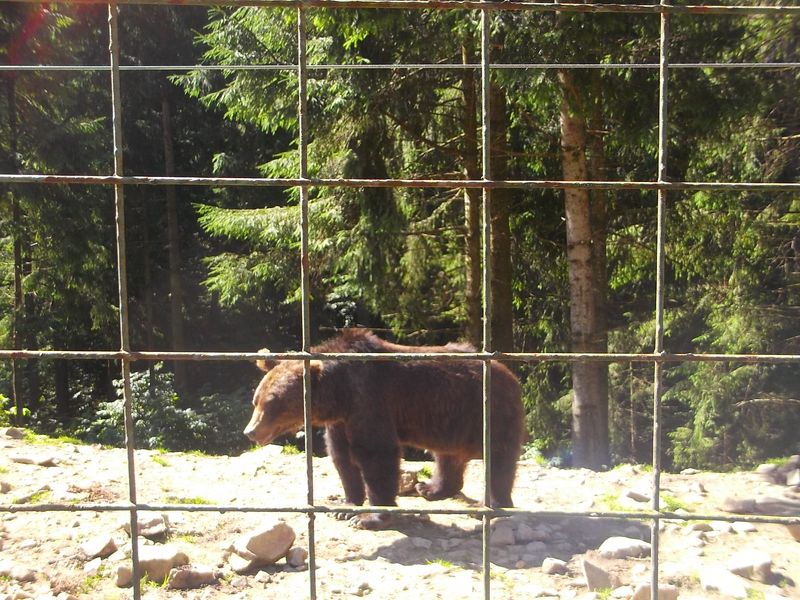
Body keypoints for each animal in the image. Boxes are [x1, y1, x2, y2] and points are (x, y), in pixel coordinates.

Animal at [243, 329, 525, 529]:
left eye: (272, 402)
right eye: (256, 400)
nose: (251, 431)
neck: (339, 393)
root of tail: (511, 376)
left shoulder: (369, 401)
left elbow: (376, 454)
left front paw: (369, 517)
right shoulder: (342, 421)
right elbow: (341, 457)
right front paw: (345, 506)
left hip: (489, 414)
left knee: (498, 461)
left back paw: (491, 506)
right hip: (451, 423)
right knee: (448, 458)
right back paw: (430, 489)